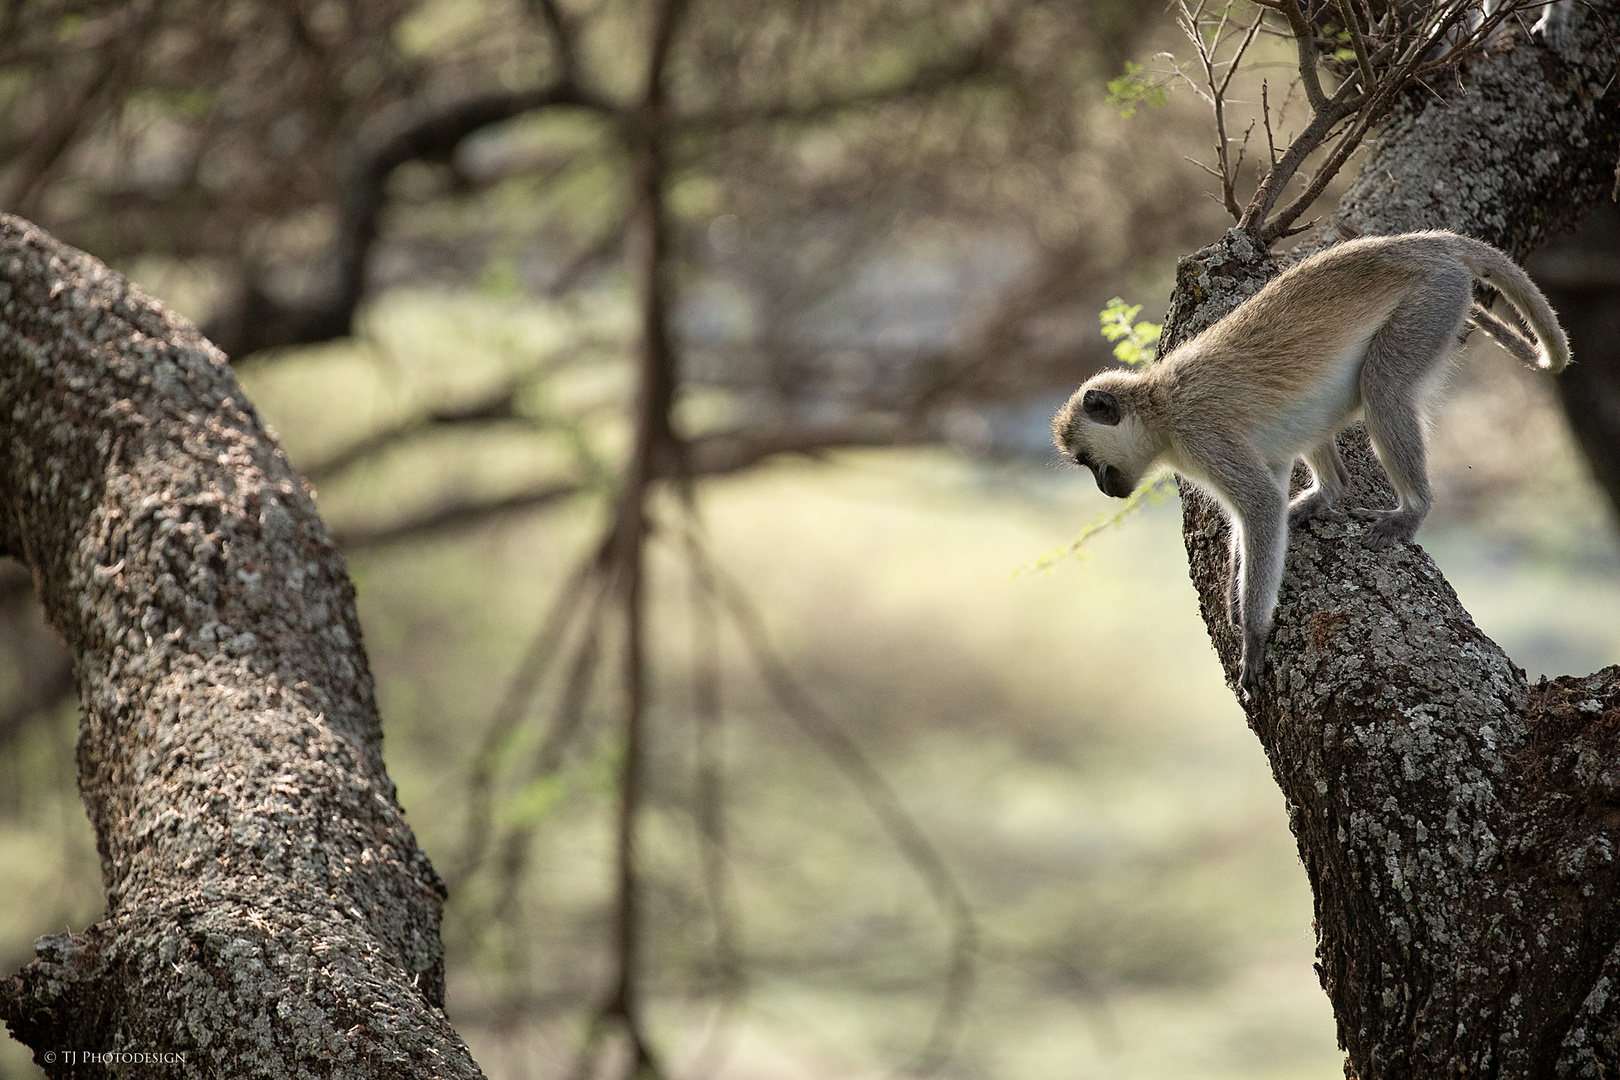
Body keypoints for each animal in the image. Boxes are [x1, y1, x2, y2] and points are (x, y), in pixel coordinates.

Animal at [1049, 231, 1568, 696]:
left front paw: (1253, 636)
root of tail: (1427, 242)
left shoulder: (1203, 436)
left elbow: (1259, 505)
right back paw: (1324, 495)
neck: (1160, 410)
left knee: (1383, 386)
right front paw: (1237, 590)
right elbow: (1263, 501)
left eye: (1088, 461)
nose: (1102, 487)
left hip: (1431, 302)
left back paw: (1412, 510)